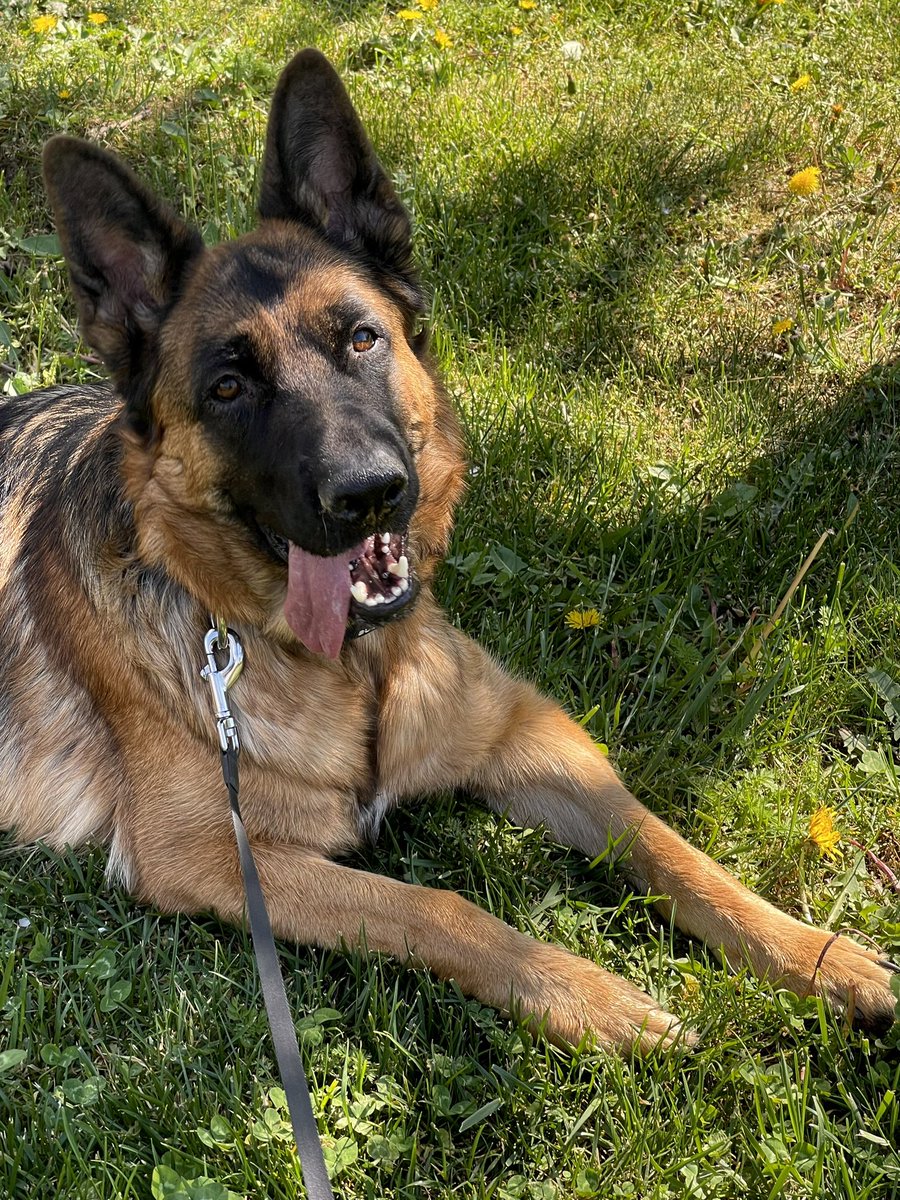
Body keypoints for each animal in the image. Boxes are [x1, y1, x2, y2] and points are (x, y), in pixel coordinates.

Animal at [3, 51, 897, 1056]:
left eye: (361, 337)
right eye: (228, 387)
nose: (366, 492)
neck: (355, 671)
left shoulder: (531, 733)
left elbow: (666, 842)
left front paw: (817, 955)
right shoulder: (208, 855)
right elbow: (437, 906)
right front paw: (588, 996)